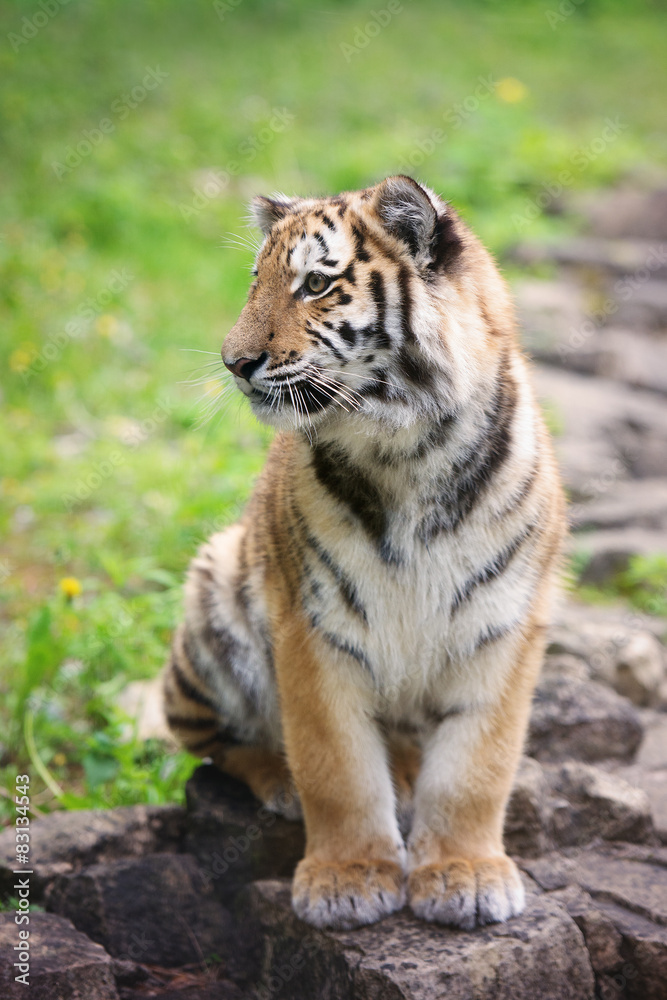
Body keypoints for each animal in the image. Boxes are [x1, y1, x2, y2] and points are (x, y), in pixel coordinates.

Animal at [162, 175, 566, 931]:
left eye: (316, 285)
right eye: (256, 281)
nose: (234, 363)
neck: (409, 451)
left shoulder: (502, 627)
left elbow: (476, 768)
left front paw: (463, 874)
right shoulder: (310, 629)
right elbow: (336, 767)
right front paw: (346, 880)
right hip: (213, 602)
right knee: (212, 745)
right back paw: (279, 782)